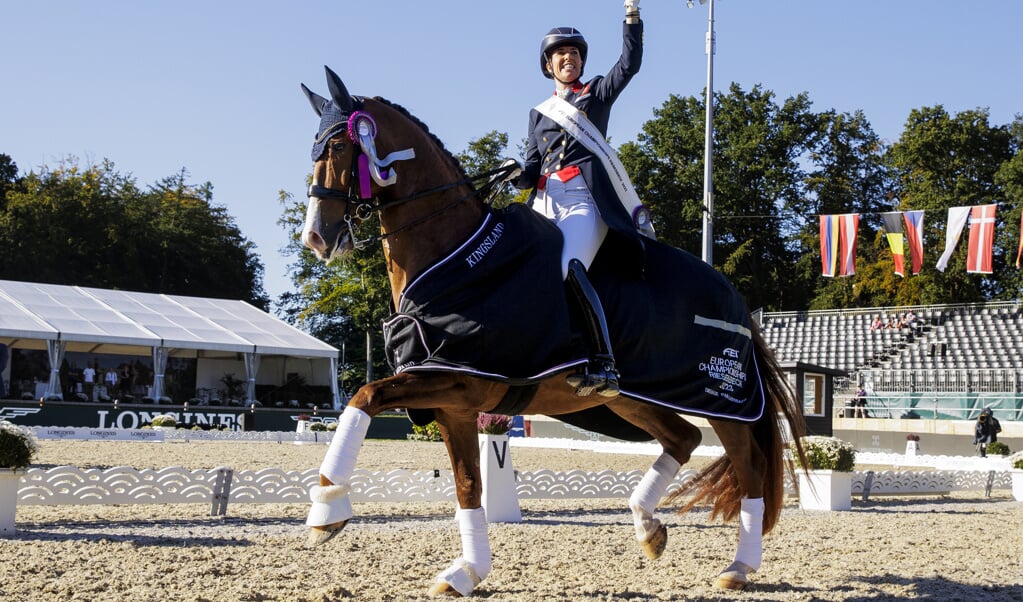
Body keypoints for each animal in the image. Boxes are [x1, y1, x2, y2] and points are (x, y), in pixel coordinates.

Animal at [296, 67, 806, 597]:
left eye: (338, 146)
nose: (316, 237)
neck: (456, 257)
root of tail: (730, 292)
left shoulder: (458, 380)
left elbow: (364, 396)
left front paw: (327, 512)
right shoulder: (453, 402)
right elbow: (467, 485)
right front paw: (467, 571)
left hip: (724, 399)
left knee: (749, 468)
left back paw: (739, 566)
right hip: (631, 398)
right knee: (683, 438)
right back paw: (648, 526)